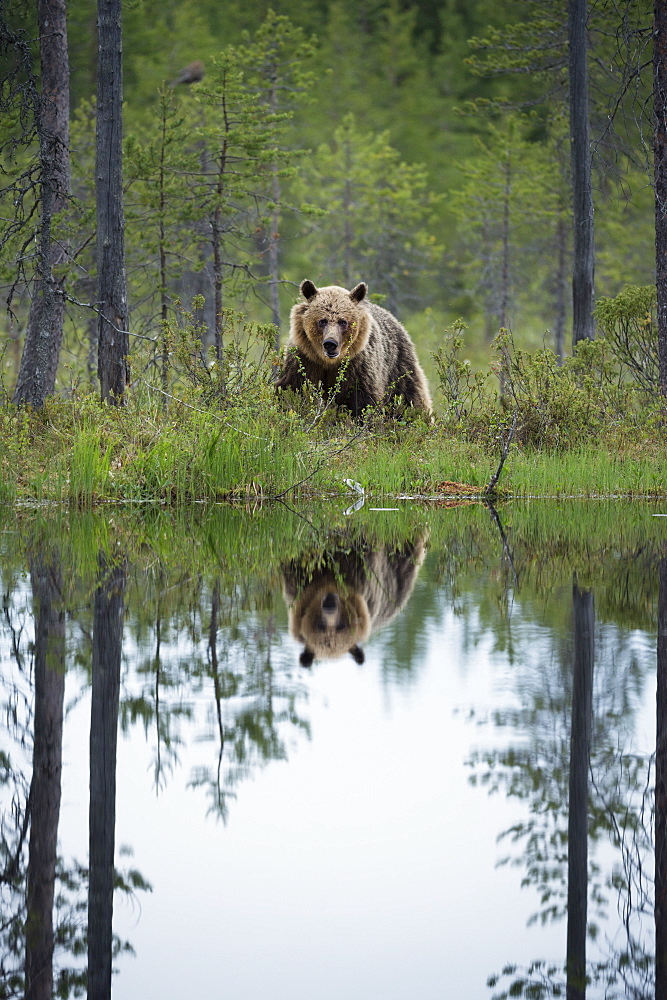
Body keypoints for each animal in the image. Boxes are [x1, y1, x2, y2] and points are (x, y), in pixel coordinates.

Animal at [276, 282, 434, 418]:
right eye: (322, 321)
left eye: (343, 322)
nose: (330, 344)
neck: (329, 363)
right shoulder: (304, 361)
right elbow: (290, 391)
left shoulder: (358, 368)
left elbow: (363, 404)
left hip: (398, 367)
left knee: (410, 398)